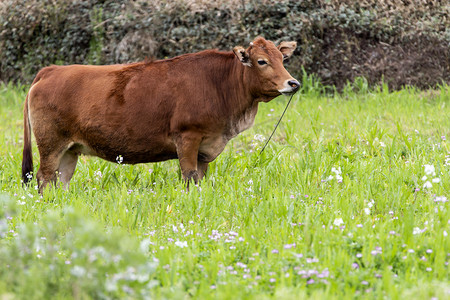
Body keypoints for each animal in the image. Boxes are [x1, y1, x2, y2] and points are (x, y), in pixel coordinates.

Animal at [22, 37, 300, 192]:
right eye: (262, 61)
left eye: (282, 58)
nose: (293, 83)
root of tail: (52, 70)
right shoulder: (187, 138)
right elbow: (189, 178)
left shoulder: (206, 148)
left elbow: (200, 179)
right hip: (51, 144)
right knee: (44, 177)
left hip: (71, 149)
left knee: (61, 180)